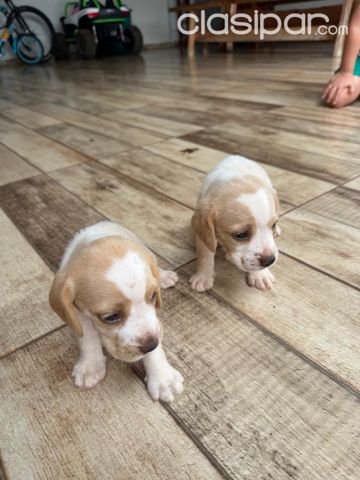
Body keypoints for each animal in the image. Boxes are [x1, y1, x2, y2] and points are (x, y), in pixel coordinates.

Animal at [49, 221, 184, 402]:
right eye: (111, 317)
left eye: (153, 296)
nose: (151, 345)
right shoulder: (77, 313)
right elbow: (87, 338)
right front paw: (90, 366)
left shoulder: (153, 321)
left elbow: (155, 348)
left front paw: (163, 378)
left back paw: (164, 276)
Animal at [190, 157, 280, 292]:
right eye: (240, 235)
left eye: (273, 225)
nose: (270, 260)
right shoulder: (204, 233)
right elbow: (205, 254)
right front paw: (203, 277)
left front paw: (260, 275)